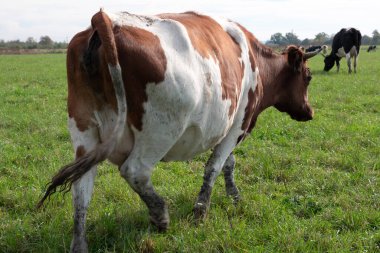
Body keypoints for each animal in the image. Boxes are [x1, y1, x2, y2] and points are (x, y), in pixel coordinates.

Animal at [37, 8, 318, 252]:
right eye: (308, 76)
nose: (309, 112)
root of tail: (107, 19)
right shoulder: (239, 124)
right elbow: (215, 166)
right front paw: (201, 211)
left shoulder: (230, 129)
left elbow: (228, 163)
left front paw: (233, 196)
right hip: (161, 130)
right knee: (135, 171)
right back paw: (160, 215)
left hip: (84, 132)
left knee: (81, 189)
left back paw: (80, 244)